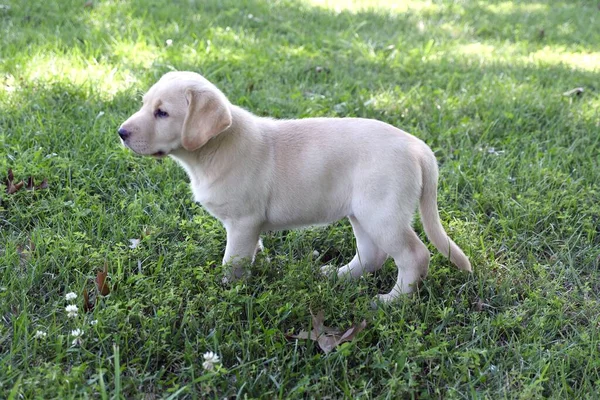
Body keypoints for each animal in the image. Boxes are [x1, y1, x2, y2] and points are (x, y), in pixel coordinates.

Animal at [118, 72, 474, 304]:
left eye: (162, 113)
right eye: (144, 104)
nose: (121, 132)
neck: (215, 148)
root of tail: (418, 147)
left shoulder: (243, 222)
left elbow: (232, 261)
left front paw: (228, 292)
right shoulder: (249, 228)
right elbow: (250, 253)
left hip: (382, 214)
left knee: (414, 256)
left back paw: (392, 300)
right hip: (362, 213)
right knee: (372, 255)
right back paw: (337, 276)